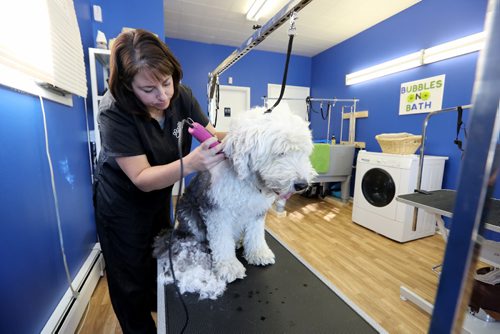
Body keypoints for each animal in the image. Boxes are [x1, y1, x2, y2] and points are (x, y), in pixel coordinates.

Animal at [154, 107, 314, 300]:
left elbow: (256, 234)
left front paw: (258, 253)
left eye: (303, 152)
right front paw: (229, 266)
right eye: (280, 152)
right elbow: (222, 241)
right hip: (189, 215)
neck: (246, 181)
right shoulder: (218, 212)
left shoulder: (256, 211)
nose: (302, 185)